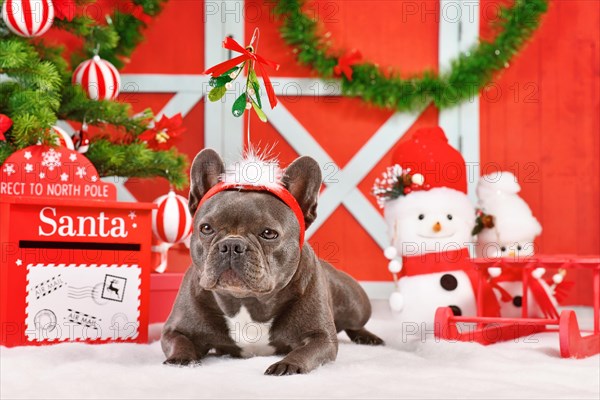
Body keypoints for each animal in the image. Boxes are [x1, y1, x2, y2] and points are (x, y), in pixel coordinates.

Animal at [162, 149, 382, 376]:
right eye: (206, 228)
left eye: (269, 233)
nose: (231, 245)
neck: (246, 301)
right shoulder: (174, 330)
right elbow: (179, 340)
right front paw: (181, 359)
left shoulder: (322, 337)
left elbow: (306, 351)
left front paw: (287, 364)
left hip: (356, 305)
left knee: (356, 324)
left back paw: (368, 337)